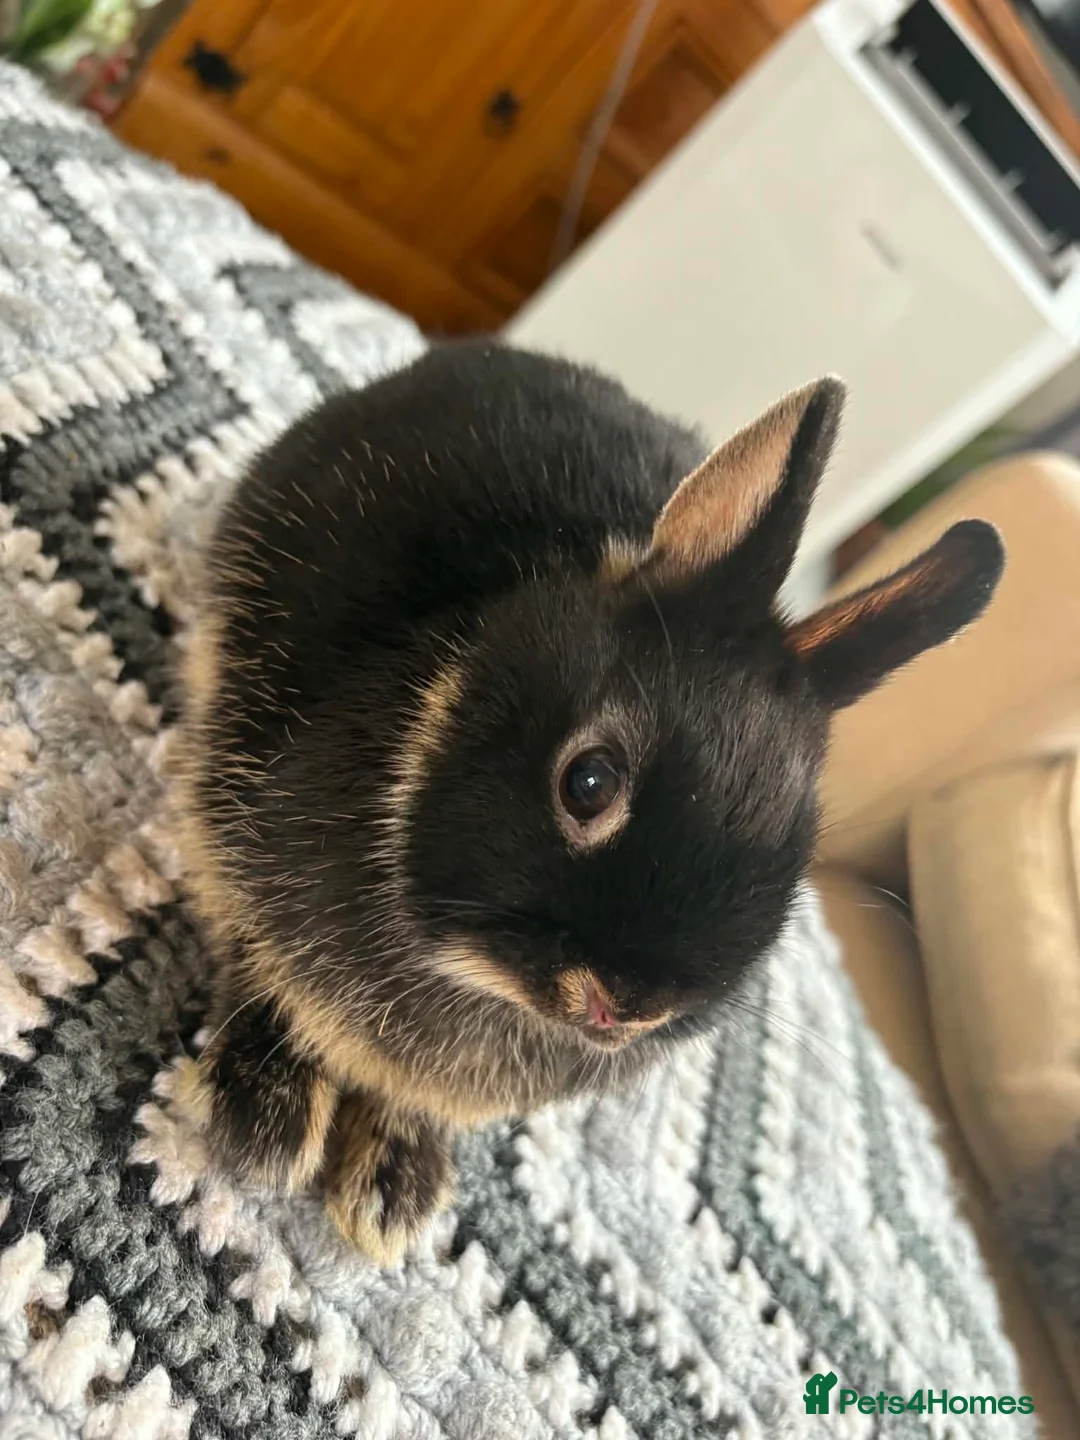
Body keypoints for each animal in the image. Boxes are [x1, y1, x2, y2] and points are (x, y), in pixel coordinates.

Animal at [176, 338, 1004, 1261]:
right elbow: (259, 965)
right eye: (590, 782)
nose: (628, 1007)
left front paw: (393, 1183)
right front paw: (264, 1121)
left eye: (798, 853)